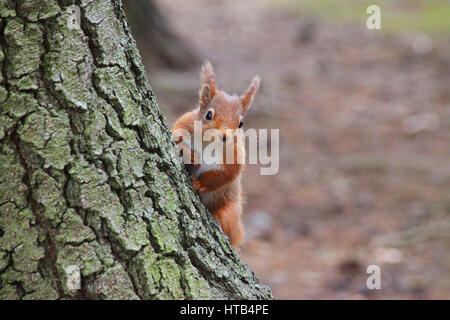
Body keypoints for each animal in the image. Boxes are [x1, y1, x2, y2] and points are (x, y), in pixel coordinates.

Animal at [171, 62, 260, 248]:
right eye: (208, 114)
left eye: (241, 123)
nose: (225, 136)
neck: (208, 143)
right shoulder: (185, 124)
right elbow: (176, 134)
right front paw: (189, 155)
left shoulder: (234, 158)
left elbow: (223, 176)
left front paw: (200, 183)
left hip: (228, 212)